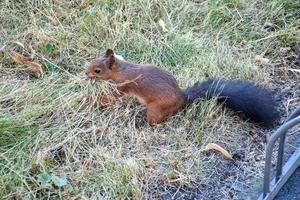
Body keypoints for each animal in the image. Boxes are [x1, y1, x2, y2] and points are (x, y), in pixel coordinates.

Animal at [84, 48, 278, 127]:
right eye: (93, 60)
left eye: (97, 70)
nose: (86, 73)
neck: (122, 69)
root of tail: (182, 99)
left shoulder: (125, 85)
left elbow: (112, 96)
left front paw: (91, 100)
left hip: (155, 109)